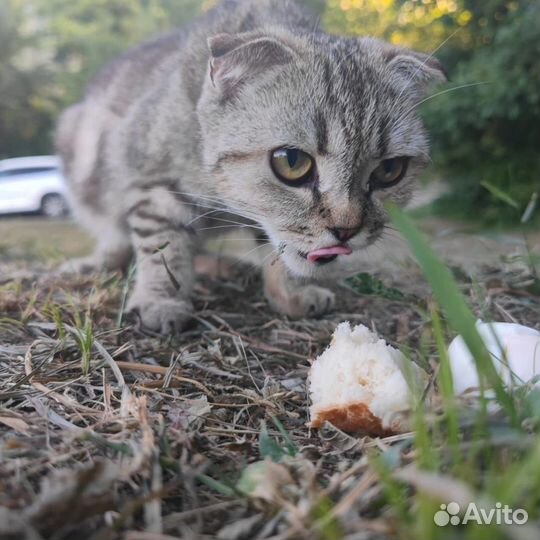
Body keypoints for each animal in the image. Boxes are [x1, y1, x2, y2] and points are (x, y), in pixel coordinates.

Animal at [57, 0, 448, 334]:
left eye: (389, 171)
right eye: (292, 162)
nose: (346, 230)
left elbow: (277, 249)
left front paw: (290, 292)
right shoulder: (151, 181)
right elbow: (163, 244)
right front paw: (162, 298)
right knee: (115, 232)